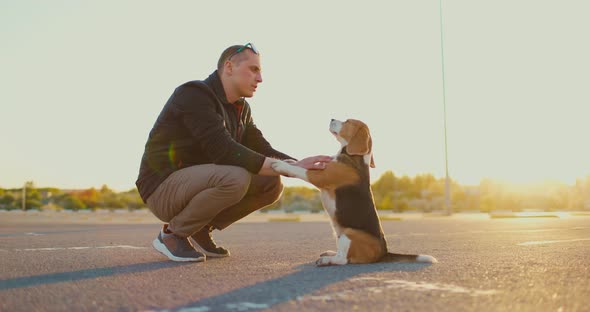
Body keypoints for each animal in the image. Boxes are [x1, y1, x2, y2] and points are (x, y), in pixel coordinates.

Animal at [270, 119, 438, 266]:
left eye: (348, 121)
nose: (332, 118)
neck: (353, 156)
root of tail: (383, 253)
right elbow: (301, 166)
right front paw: (289, 161)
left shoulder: (322, 176)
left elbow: (302, 170)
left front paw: (280, 164)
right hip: (338, 232)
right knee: (341, 254)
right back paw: (330, 253)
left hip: (348, 233)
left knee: (343, 260)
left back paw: (327, 260)